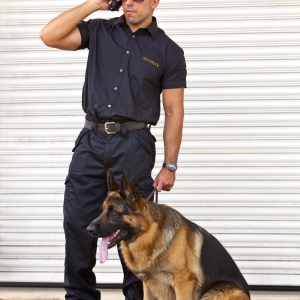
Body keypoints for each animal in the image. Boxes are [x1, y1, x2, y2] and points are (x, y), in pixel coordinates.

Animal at [86, 170, 251, 298]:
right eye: (102, 210)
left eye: (113, 211)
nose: (88, 229)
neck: (149, 234)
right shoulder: (148, 286)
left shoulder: (183, 283)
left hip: (216, 290)